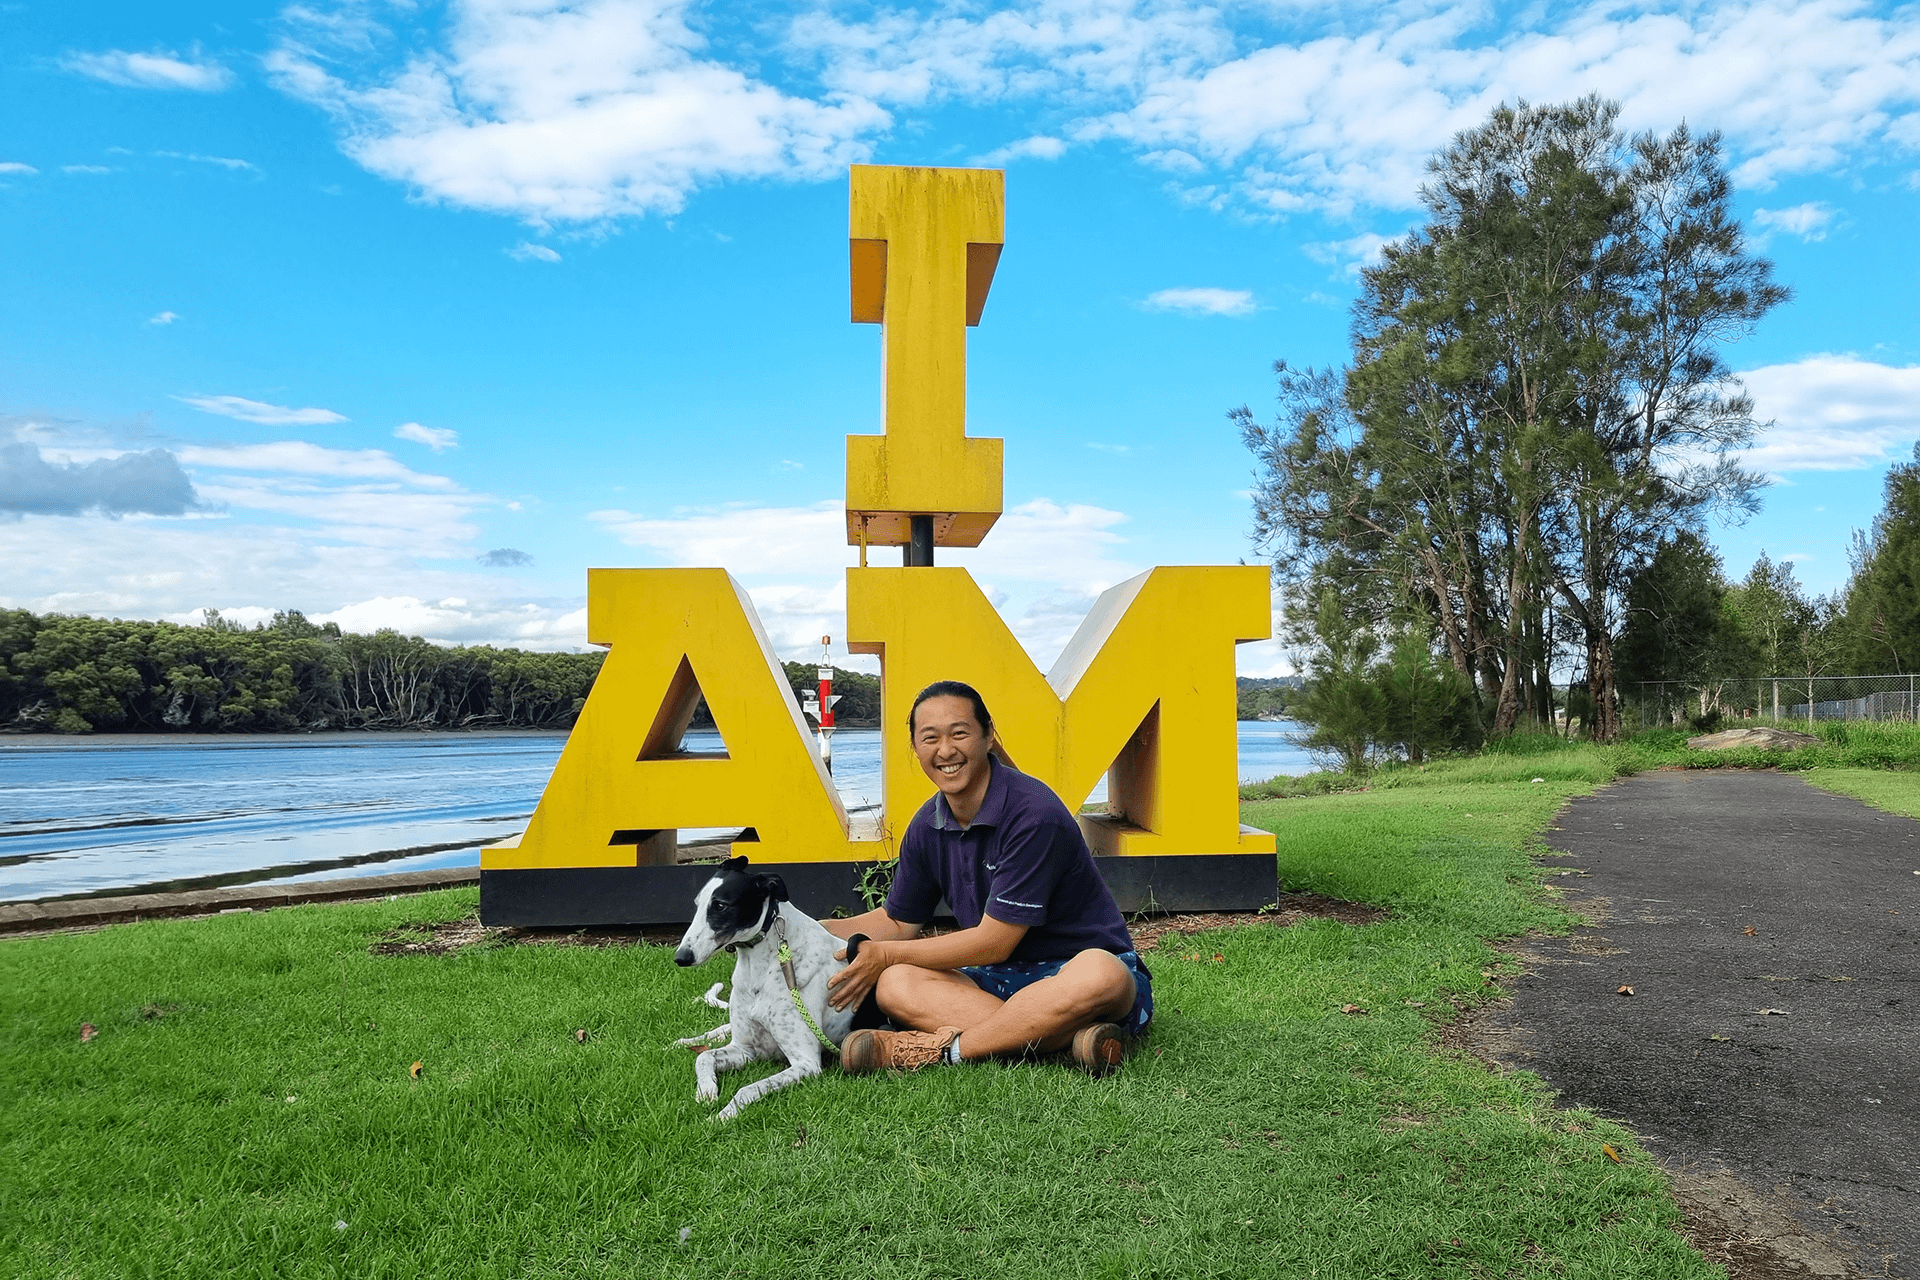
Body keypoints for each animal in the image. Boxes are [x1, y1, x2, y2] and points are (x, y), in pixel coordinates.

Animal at [672, 859, 860, 1120]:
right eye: (697, 904)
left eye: (720, 905)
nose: (681, 957)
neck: (760, 969)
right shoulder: (743, 1049)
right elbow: (703, 1056)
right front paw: (706, 1091)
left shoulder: (806, 1064)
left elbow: (747, 1088)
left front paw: (721, 1116)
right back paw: (685, 1041)